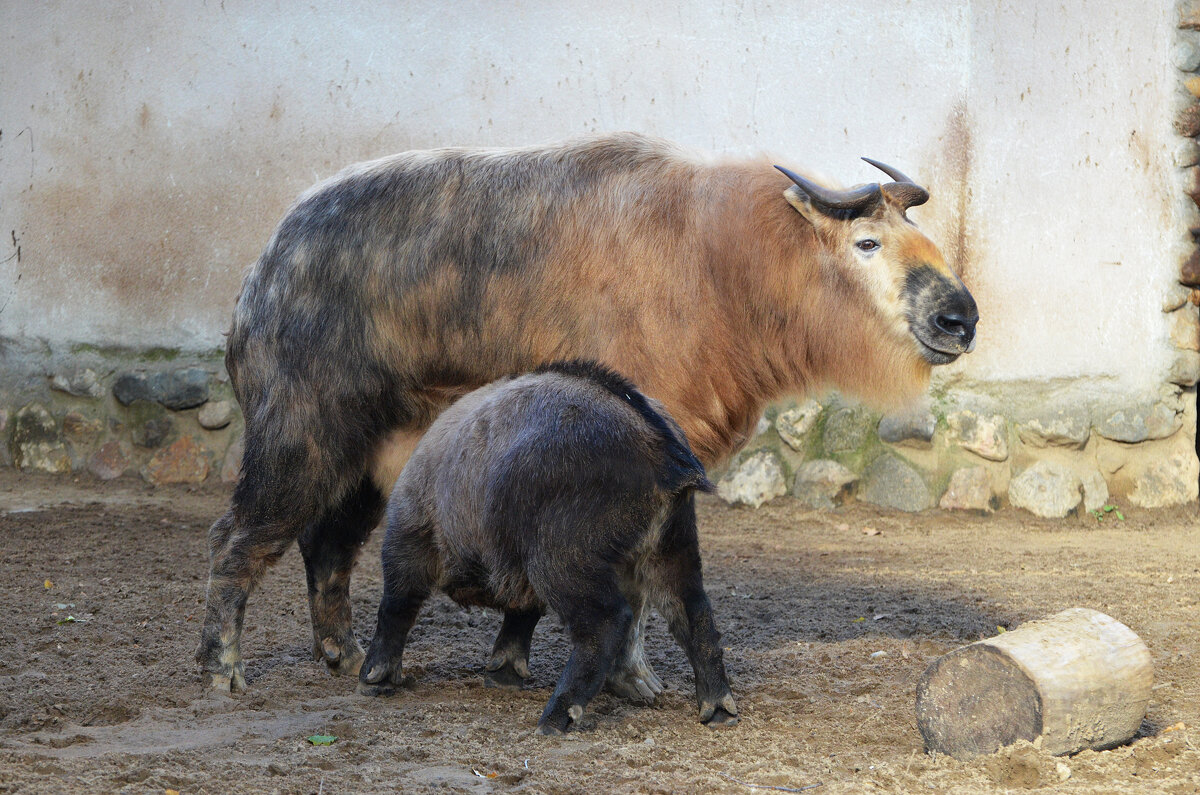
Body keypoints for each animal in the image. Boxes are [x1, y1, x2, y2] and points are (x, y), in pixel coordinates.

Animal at [355, 360, 734, 734]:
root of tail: (662, 449)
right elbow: (521, 615)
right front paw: (504, 675)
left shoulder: (408, 538)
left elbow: (396, 606)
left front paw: (374, 677)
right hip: (672, 546)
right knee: (693, 611)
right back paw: (718, 708)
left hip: (562, 560)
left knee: (607, 621)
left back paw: (557, 716)